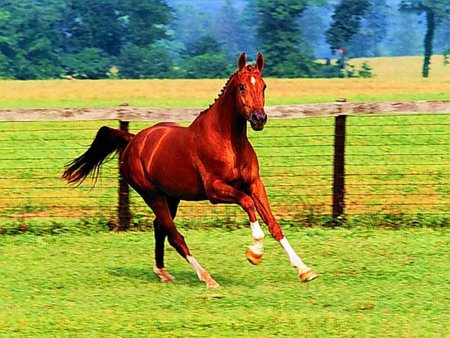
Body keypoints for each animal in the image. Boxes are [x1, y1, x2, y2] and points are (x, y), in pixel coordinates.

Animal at [63, 52, 318, 288]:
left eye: (264, 85)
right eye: (242, 86)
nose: (259, 119)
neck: (228, 142)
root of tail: (133, 140)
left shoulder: (254, 184)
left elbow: (274, 225)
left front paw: (304, 270)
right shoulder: (215, 191)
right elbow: (247, 204)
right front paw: (255, 252)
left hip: (171, 197)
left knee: (160, 228)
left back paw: (163, 272)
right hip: (152, 195)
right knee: (174, 235)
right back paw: (207, 278)